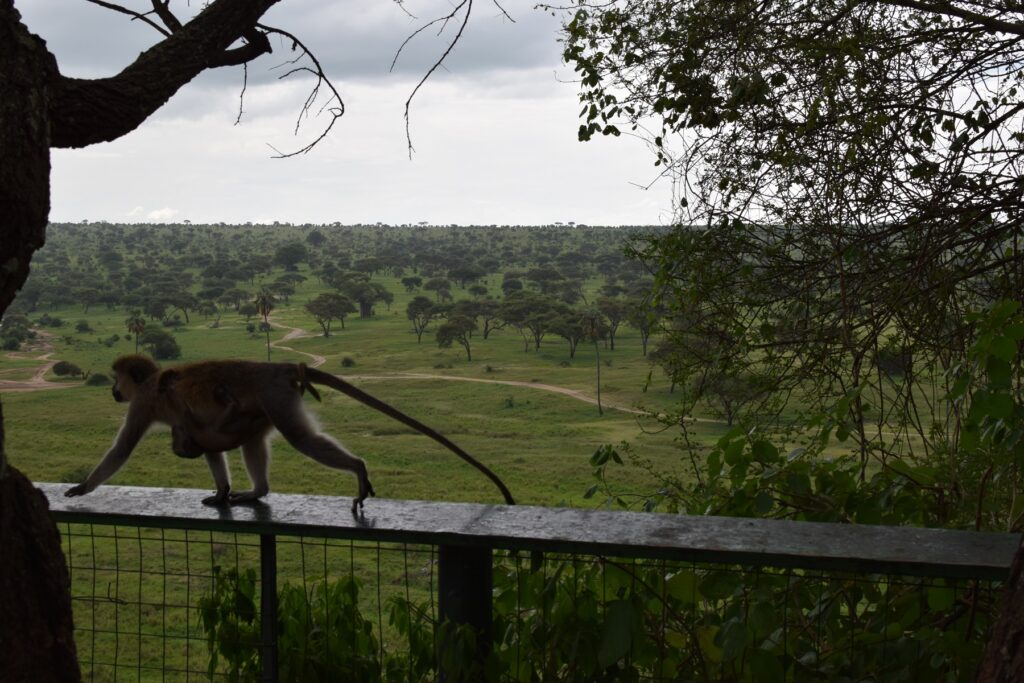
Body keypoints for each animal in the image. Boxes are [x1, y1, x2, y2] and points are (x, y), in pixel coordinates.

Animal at [65, 355, 516, 512]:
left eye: (118, 379)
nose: (112, 390)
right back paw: (256, 491)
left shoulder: (142, 404)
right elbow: (205, 445)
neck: (154, 381)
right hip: (270, 404)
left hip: (275, 396)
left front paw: (84, 486)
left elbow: (123, 448)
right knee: (251, 440)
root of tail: (277, 366)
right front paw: (223, 491)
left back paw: (358, 468)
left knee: (300, 439)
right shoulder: (181, 421)